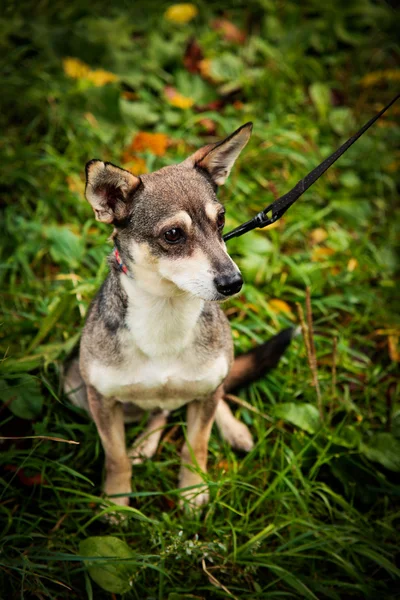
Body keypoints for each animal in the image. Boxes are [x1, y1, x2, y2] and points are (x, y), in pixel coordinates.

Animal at [63, 124, 294, 508]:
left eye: (221, 220)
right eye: (173, 234)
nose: (233, 282)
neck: (166, 312)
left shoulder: (205, 394)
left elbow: (196, 446)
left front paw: (193, 490)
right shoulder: (101, 400)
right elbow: (117, 457)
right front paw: (117, 503)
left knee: (211, 394)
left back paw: (232, 429)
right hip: (74, 389)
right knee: (160, 410)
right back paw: (144, 445)